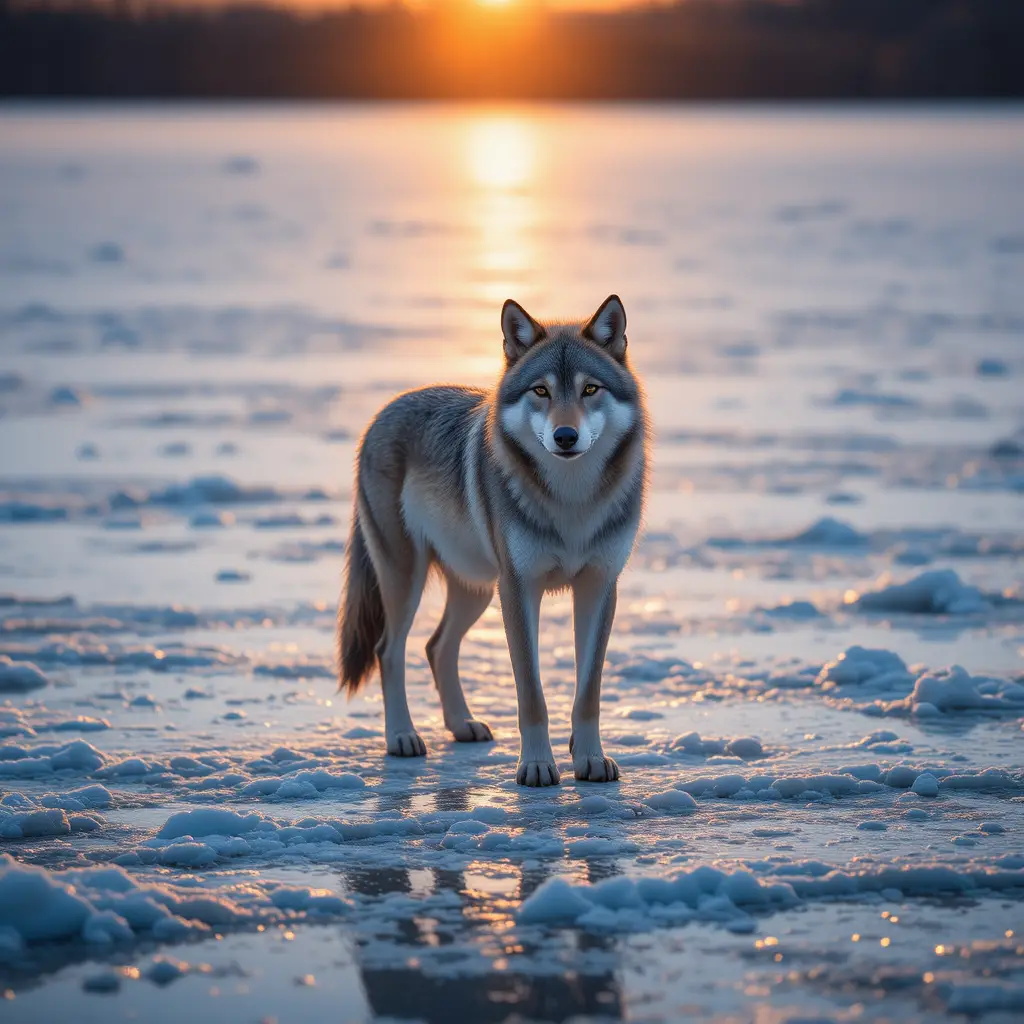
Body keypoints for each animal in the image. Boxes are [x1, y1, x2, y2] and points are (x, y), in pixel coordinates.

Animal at [337, 295, 648, 786]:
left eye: (590, 390)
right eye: (540, 391)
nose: (565, 436)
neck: (571, 500)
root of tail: (383, 412)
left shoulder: (599, 587)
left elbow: (588, 692)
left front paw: (590, 759)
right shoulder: (519, 589)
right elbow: (532, 695)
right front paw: (537, 766)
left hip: (477, 588)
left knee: (437, 646)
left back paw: (462, 725)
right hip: (409, 579)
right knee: (390, 649)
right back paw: (402, 737)